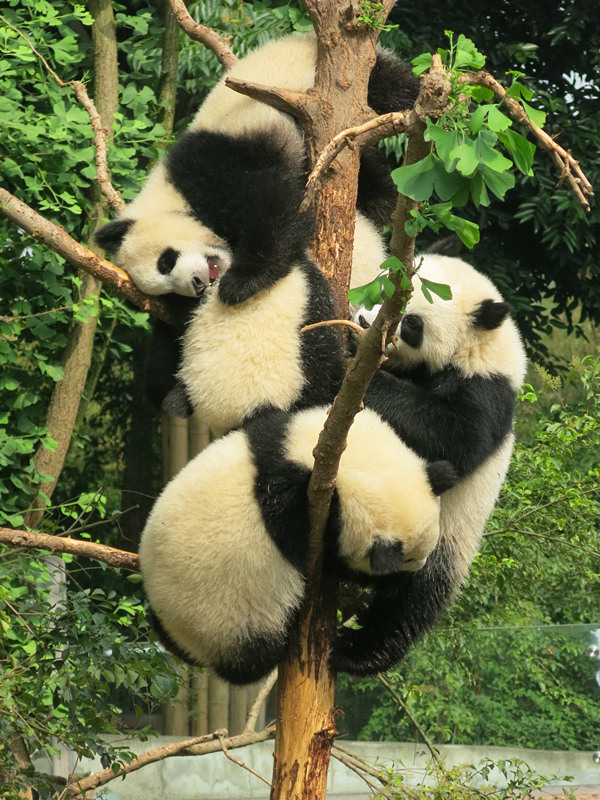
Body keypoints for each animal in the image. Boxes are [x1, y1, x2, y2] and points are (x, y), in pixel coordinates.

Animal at [95, 31, 418, 408]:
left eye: (166, 261)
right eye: (167, 290)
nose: (197, 284)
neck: (169, 195)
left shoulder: (212, 167)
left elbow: (271, 210)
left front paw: (240, 285)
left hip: (335, 80)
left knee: (394, 90)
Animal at [138, 405, 458, 685]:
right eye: (407, 559)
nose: (419, 567)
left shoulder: (277, 433)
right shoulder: (302, 513)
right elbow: (328, 556)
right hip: (229, 624)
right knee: (253, 660)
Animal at [331, 253, 528, 675]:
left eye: (413, 324)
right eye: (383, 289)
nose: (365, 323)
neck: (482, 347)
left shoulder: (487, 394)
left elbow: (448, 434)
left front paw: (356, 368)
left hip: (439, 542)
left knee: (409, 605)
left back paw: (358, 651)